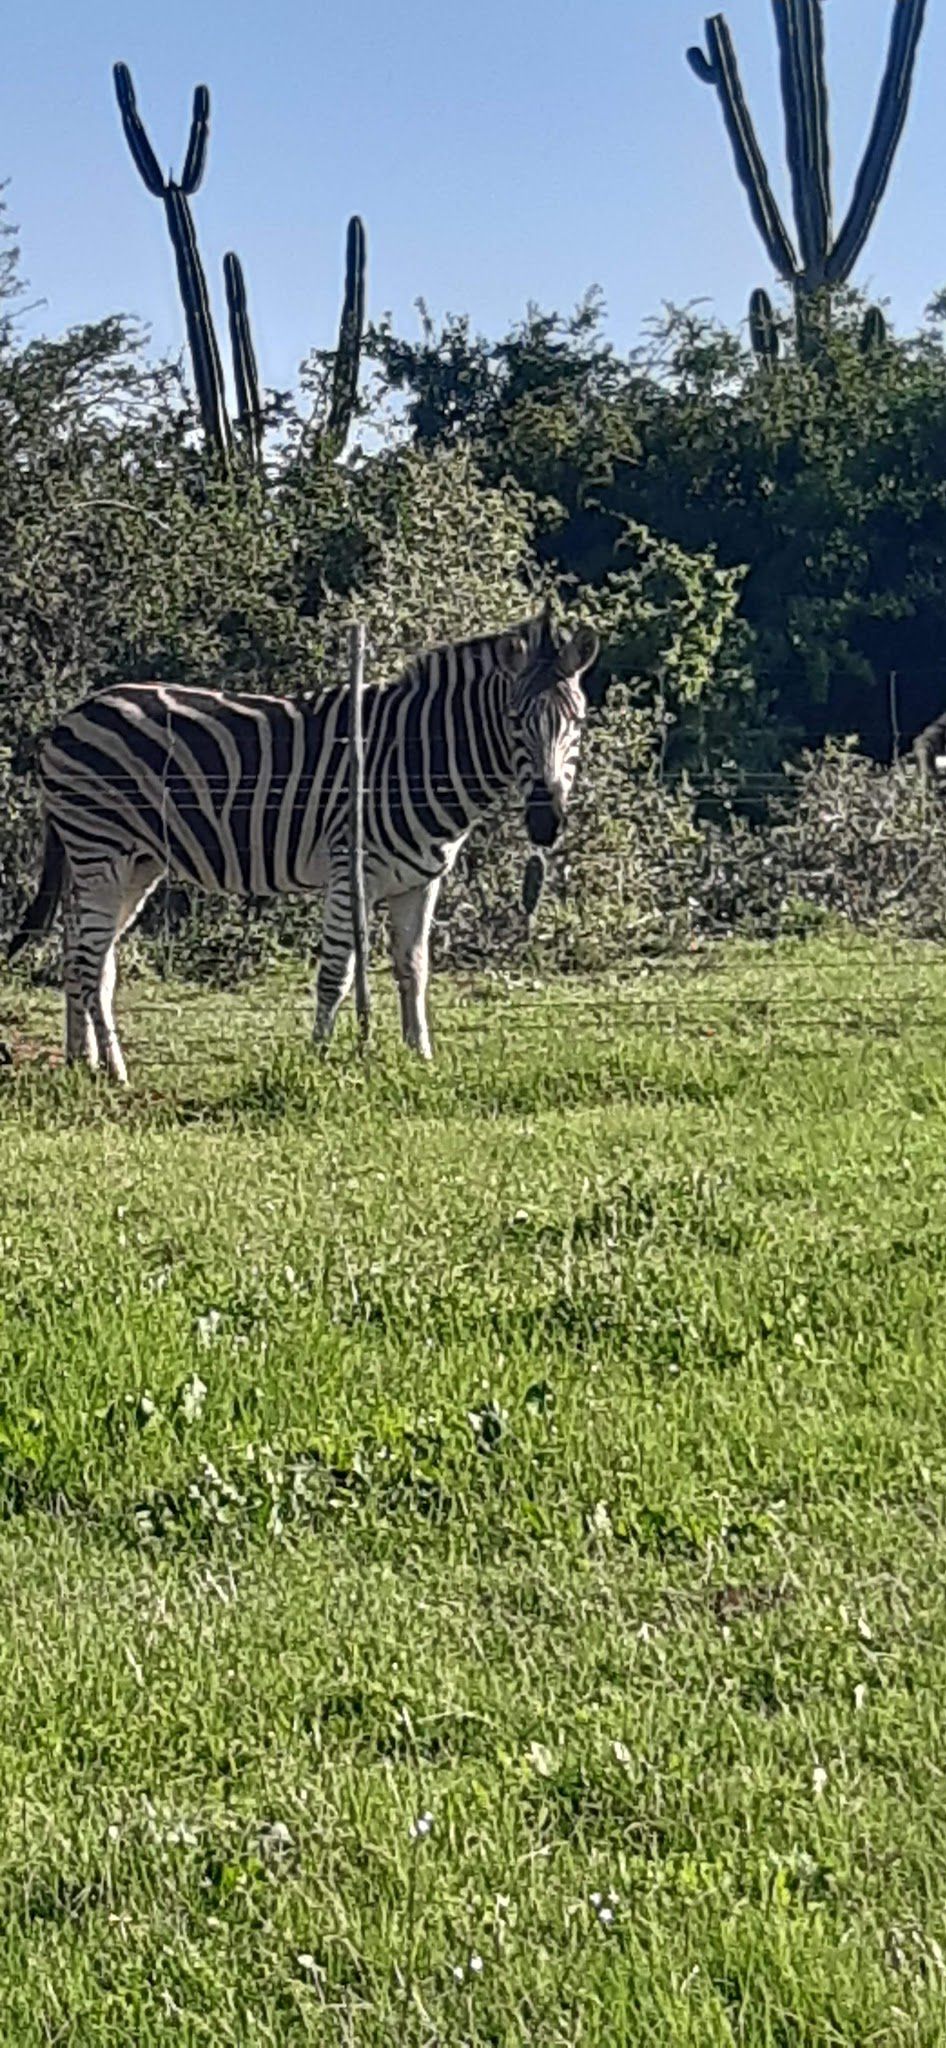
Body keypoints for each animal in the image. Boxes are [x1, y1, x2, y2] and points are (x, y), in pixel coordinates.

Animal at [7, 602, 597, 1081]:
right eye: (516, 721)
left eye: (578, 722)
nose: (546, 823)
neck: (417, 756)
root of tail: (68, 717)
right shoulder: (350, 870)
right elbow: (337, 973)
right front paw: (319, 1058)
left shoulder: (419, 881)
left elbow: (414, 971)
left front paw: (420, 1056)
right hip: (100, 849)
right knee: (88, 960)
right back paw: (115, 1071)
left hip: (134, 863)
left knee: (84, 955)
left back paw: (83, 1062)